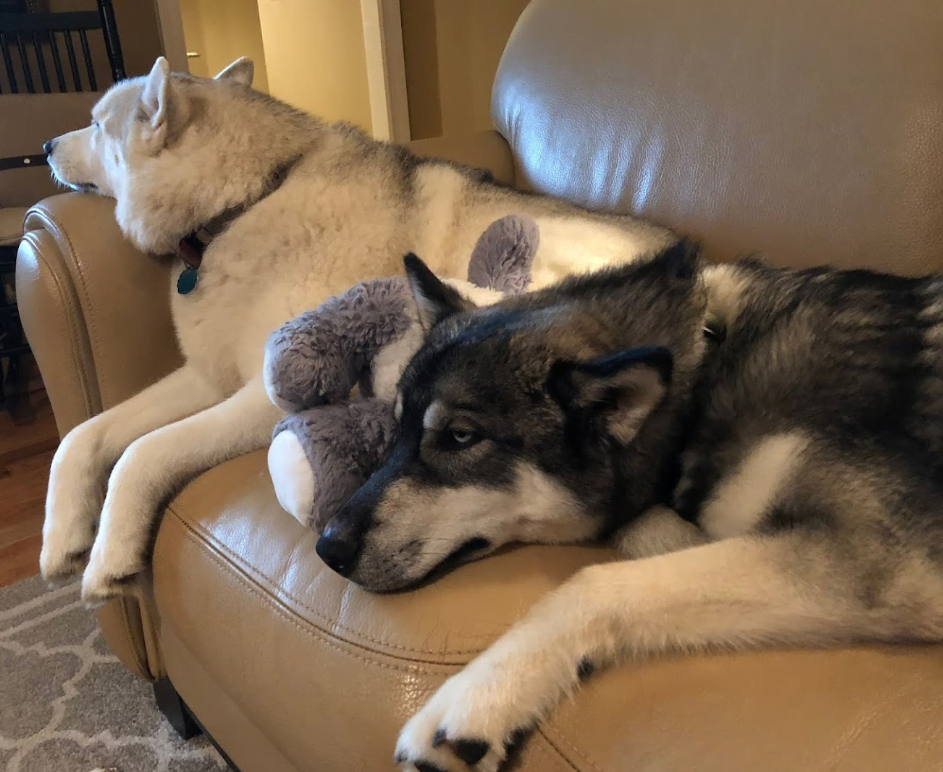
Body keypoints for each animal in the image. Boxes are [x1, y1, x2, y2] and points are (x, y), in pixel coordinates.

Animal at [38, 58, 672, 604]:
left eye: (96, 124)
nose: (43, 146)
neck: (247, 200)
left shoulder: (265, 394)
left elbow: (141, 452)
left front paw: (109, 554)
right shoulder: (207, 377)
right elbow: (84, 436)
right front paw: (62, 536)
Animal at [316, 241, 943, 772]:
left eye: (460, 438)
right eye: (397, 426)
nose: (327, 548)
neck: (706, 375)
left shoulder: (868, 559)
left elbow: (593, 583)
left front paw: (472, 704)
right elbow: (645, 532)